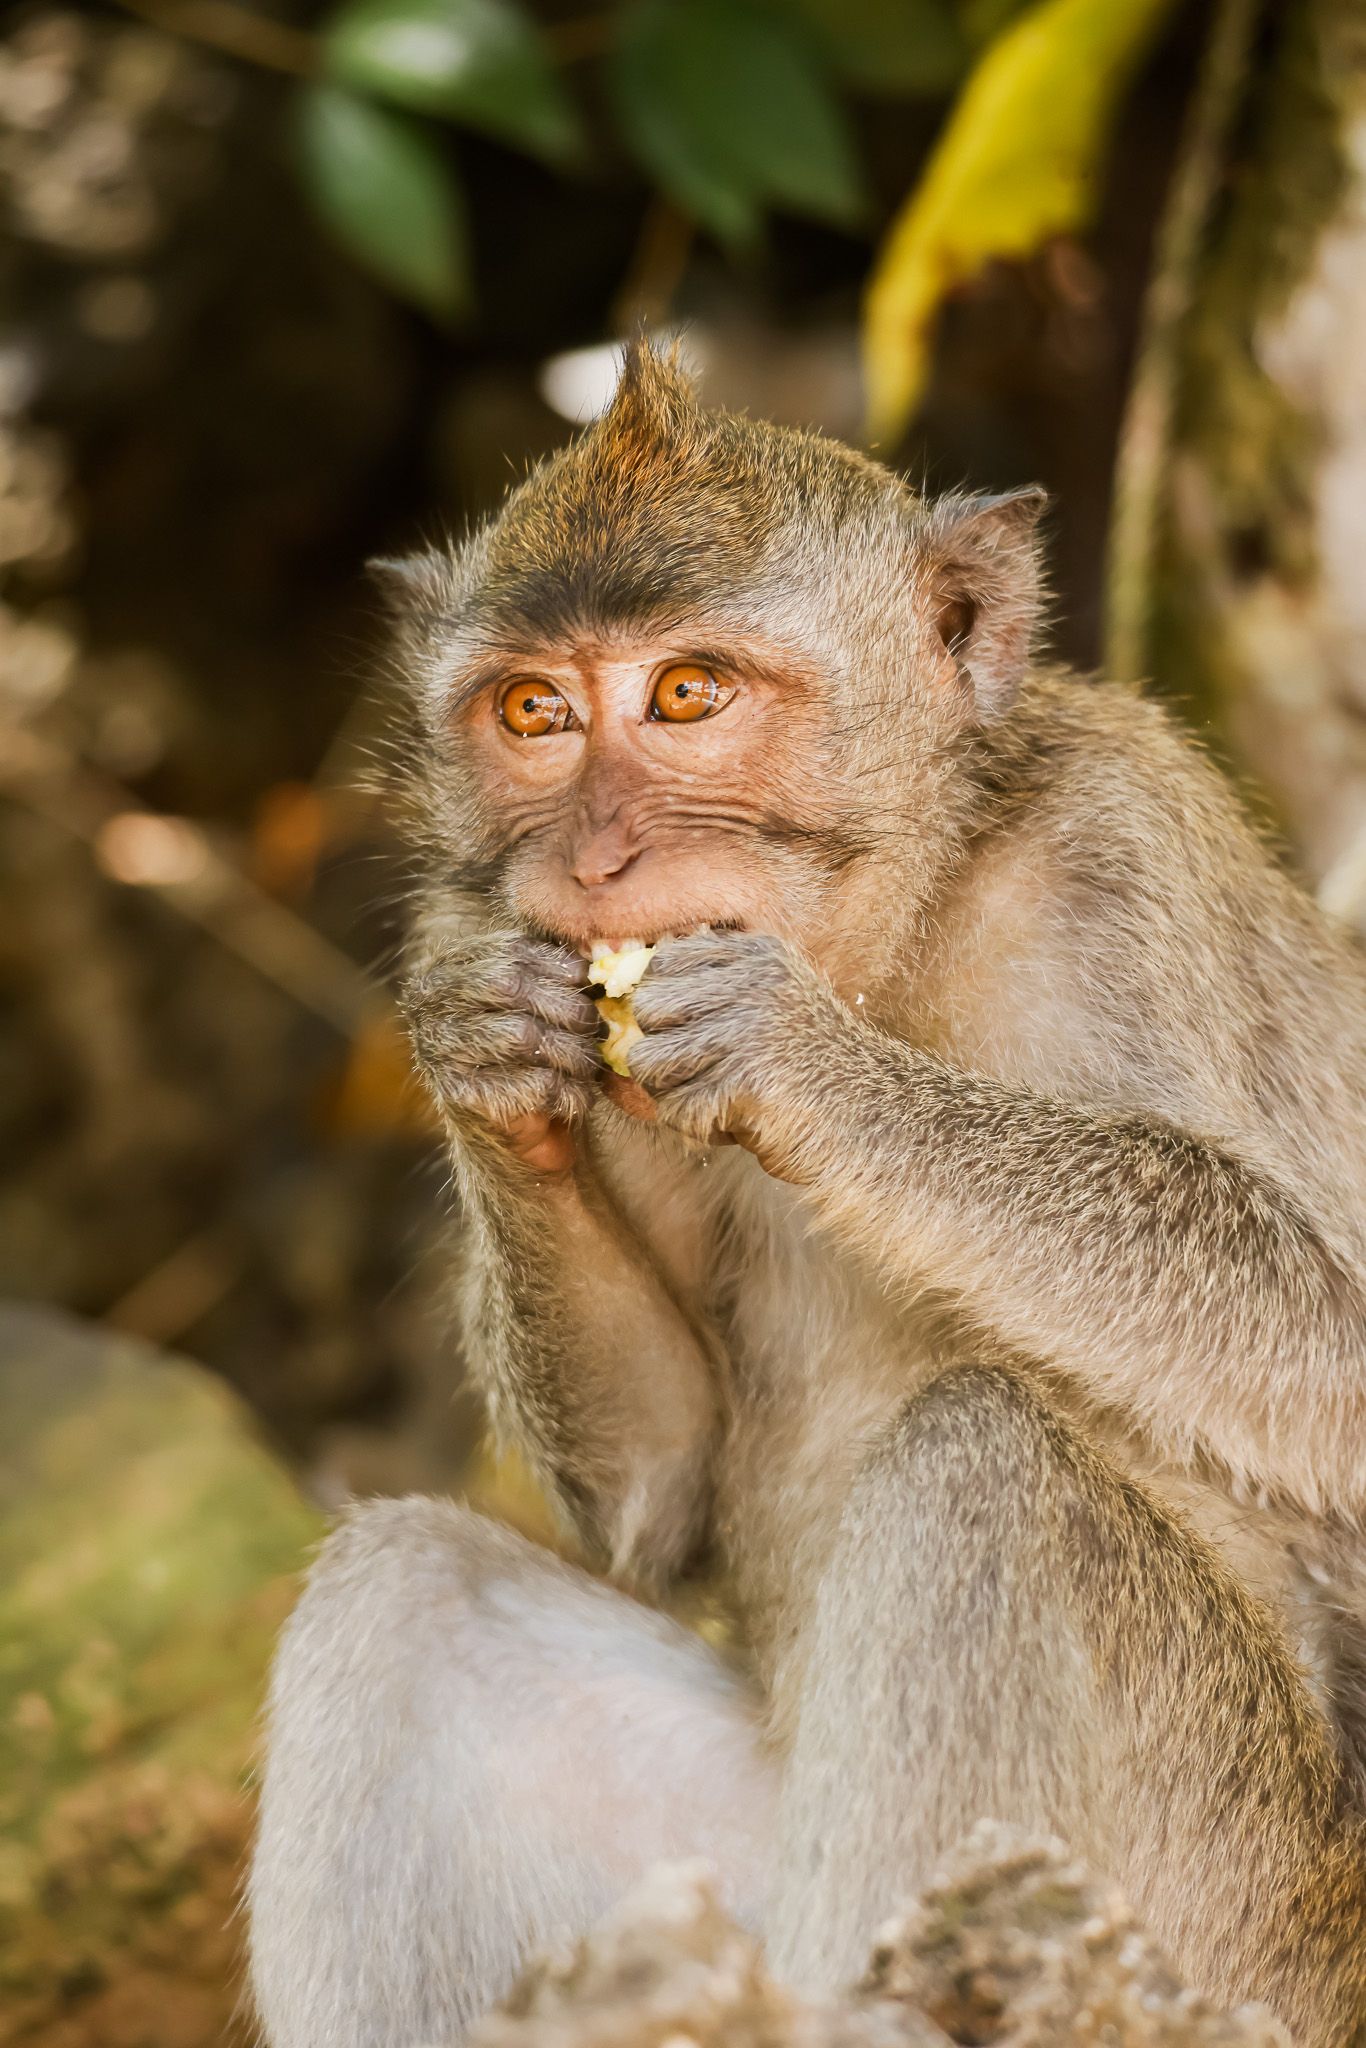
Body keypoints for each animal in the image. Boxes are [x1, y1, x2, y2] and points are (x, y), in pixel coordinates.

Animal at [248, 343, 1366, 2048]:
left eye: (687, 695)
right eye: (533, 712)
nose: (596, 858)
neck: (897, 926)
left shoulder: (1122, 847)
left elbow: (1331, 1352)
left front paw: (802, 1064)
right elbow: (658, 1493)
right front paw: (481, 1051)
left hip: (1228, 1931)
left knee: (987, 1467)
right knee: (408, 1586)